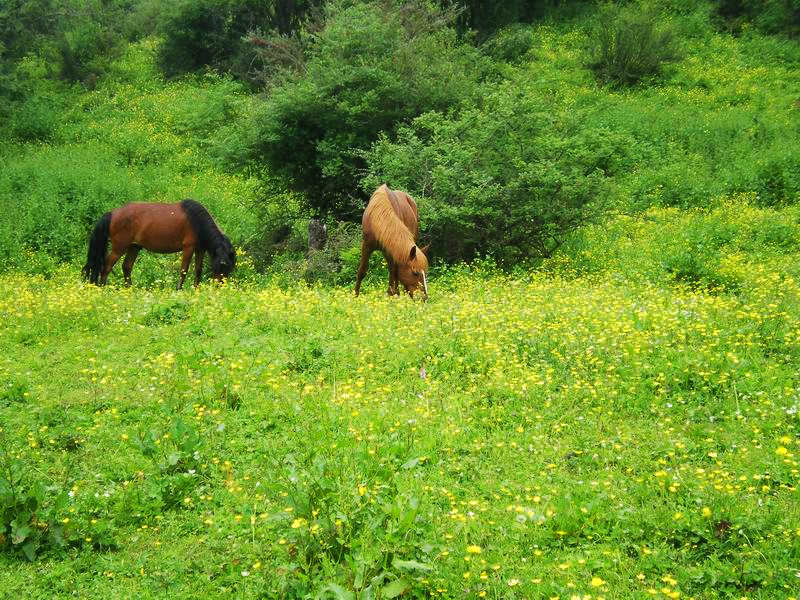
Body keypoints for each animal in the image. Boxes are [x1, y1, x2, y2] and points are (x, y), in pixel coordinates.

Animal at [83, 199, 236, 288]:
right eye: (220, 266)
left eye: (228, 268)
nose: (219, 287)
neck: (196, 221)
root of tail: (112, 213)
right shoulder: (188, 247)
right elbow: (184, 270)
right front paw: (179, 289)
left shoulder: (200, 249)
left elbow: (198, 270)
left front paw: (196, 289)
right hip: (119, 247)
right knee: (107, 266)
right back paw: (102, 288)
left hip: (134, 247)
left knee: (126, 267)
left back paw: (130, 290)